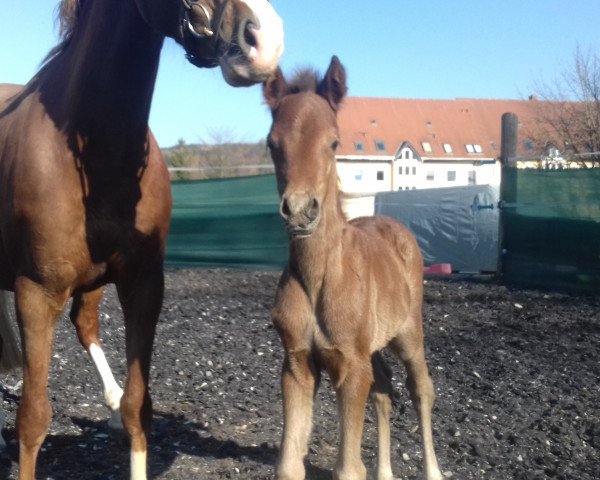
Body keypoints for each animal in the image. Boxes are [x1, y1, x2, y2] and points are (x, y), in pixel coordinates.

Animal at [264, 57, 442, 480]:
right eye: (272, 144)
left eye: (333, 142)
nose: (300, 211)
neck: (317, 279)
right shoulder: (297, 362)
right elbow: (289, 464)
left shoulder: (351, 366)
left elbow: (348, 468)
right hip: (371, 346)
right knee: (384, 390)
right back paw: (385, 472)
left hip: (408, 331)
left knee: (421, 388)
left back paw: (433, 470)